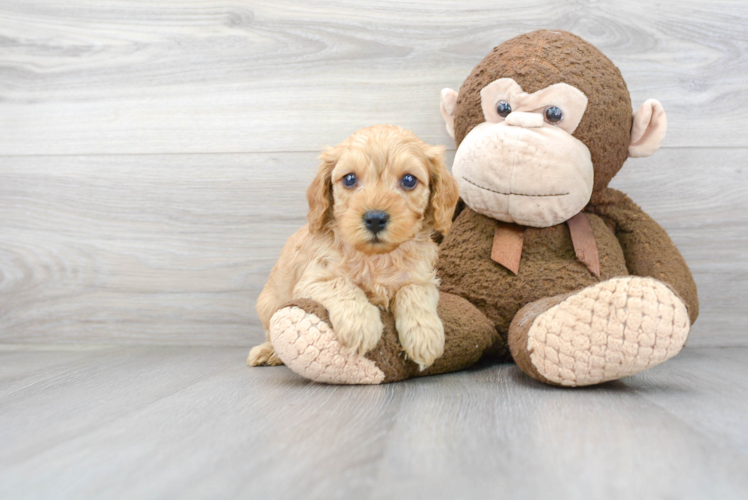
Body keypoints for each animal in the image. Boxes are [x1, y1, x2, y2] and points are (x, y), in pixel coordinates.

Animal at [248, 123, 458, 370]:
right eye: (349, 179)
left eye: (409, 180)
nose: (375, 218)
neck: (377, 258)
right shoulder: (313, 279)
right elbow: (342, 285)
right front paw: (361, 324)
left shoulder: (423, 277)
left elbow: (413, 291)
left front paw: (424, 335)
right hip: (268, 305)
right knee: (270, 333)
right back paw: (268, 352)